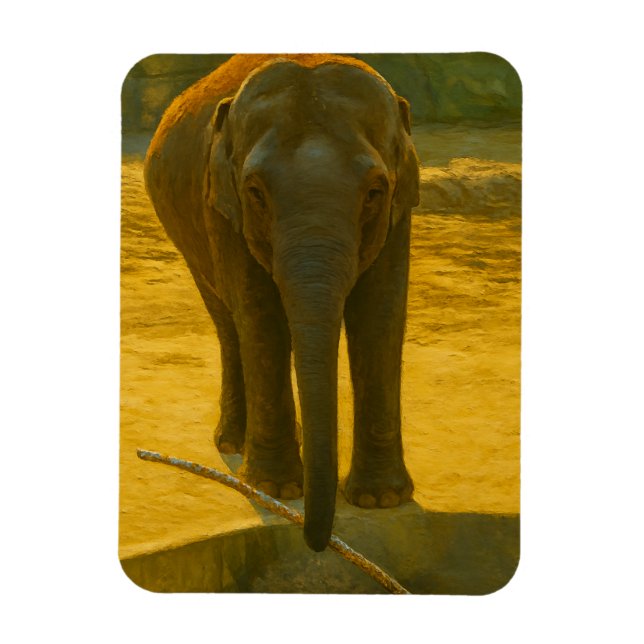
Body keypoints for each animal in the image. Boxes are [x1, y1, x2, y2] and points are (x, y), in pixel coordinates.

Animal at [144, 54, 419, 551]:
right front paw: (275, 488)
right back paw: (233, 444)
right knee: (228, 323)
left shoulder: (399, 209)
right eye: (255, 192)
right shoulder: (222, 205)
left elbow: (380, 317)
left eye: (375, 191)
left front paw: (381, 500)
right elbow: (261, 318)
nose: (317, 543)